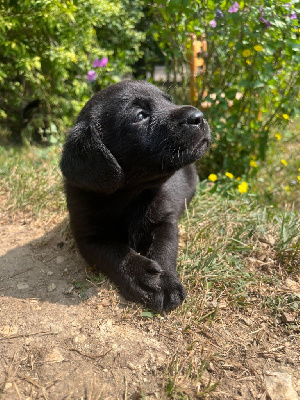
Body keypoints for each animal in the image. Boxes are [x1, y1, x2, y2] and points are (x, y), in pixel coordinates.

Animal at [60, 80, 211, 312]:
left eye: (169, 101)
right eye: (140, 115)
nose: (198, 116)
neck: (131, 197)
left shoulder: (164, 221)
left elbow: (164, 248)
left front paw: (165, 281)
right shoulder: (88, 238)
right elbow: (115, 252)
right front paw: (143, 279)